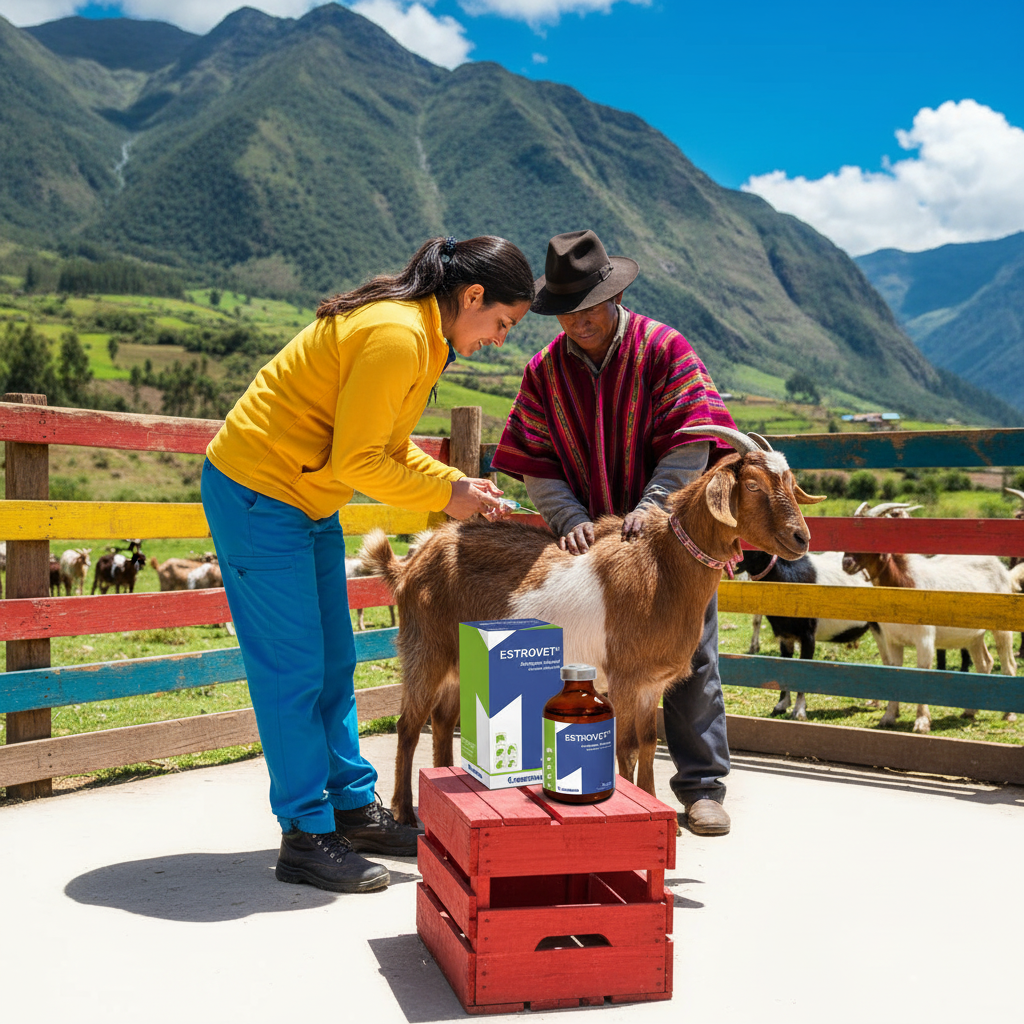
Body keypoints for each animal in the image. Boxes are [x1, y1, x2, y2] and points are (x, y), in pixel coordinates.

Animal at [359, 426, 825, 826]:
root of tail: (412, 561)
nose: (801, 538)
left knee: (442, 722)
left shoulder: (650, 683)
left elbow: (649, 745)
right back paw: (405, 813)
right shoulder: (624, 678)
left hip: (462, 658)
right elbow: (626, 749)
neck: (662, 568)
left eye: (790, 484)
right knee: (409, 726)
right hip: (426, 648)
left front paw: (654, 805)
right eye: (753, 486)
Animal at [842, 502, 1017, 732]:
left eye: (872, 536)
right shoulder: (892, 639)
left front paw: (922, 722)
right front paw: (888, 717)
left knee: (1008, 662)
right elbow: (894, 670)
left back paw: (1009, 714)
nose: (846, 563)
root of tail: (999, 564)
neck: (904, 583)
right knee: (984, 662)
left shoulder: (924, 637)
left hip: (1003, 626)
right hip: (973, 635)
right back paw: (969, 711)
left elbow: (922, 671)